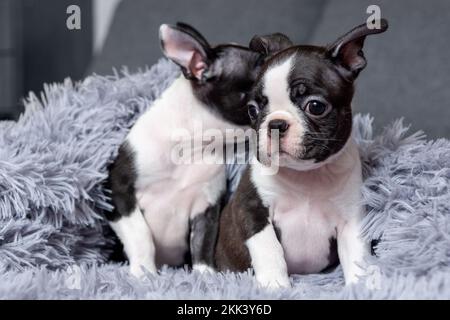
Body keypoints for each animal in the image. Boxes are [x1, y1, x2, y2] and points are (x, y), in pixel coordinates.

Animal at [106, 23, 292, 278]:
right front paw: (143, 272)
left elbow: (202, 243)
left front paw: (205, 276)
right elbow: (141, 236)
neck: (190, 146)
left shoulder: (205, 206)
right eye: (256, 102)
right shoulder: (120, 193)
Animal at [216, 21, 388, 288]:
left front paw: (362, 286)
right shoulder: (251, 208)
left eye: (315, 106)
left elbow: (357, 256)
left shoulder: (351, 220)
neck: (306, 176)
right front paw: (275, 286)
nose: (275, 124)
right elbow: (269, 250)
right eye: (252, 110)